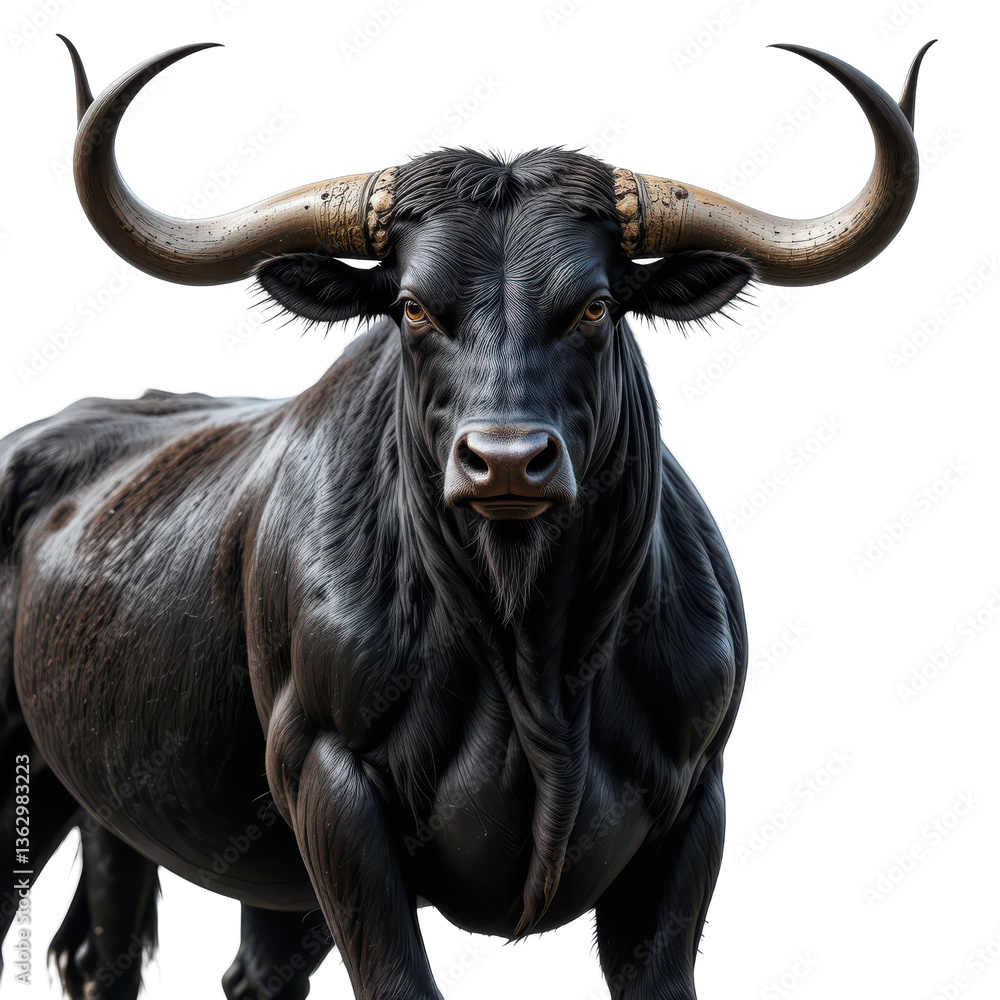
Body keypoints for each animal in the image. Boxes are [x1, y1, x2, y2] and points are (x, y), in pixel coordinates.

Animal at [0, 36, 932, 1000]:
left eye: (596, 304)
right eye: (413, 306)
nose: (508, 460)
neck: (531, 655)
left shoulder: (694, 809)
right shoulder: (331, 792)